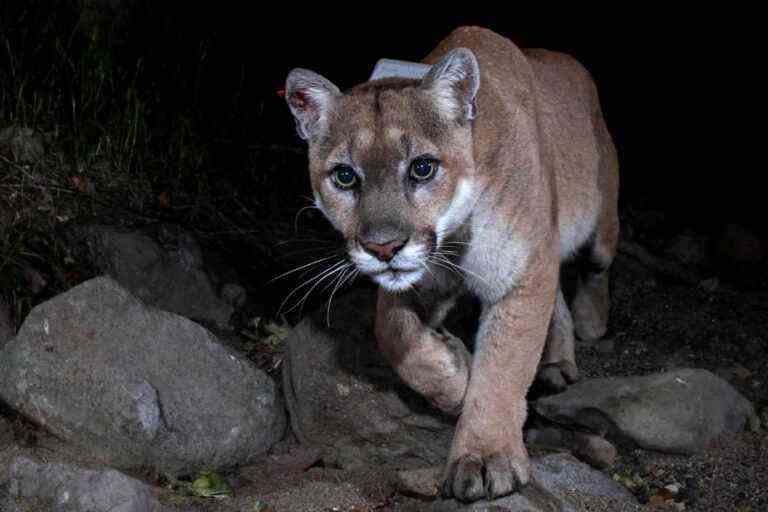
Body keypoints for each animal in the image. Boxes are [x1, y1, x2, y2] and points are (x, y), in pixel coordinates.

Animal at [284, 26, 620, 502]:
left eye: (422, 168)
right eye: (345, 176)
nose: (383, 248)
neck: (455, 235)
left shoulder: (521, 273)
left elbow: (504, 365)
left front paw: (486, 456)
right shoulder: (424, 279)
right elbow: (392, 332)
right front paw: (455, 376)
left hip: (599, 220)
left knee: (595, 266)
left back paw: (590, 324)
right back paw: (554, 362)